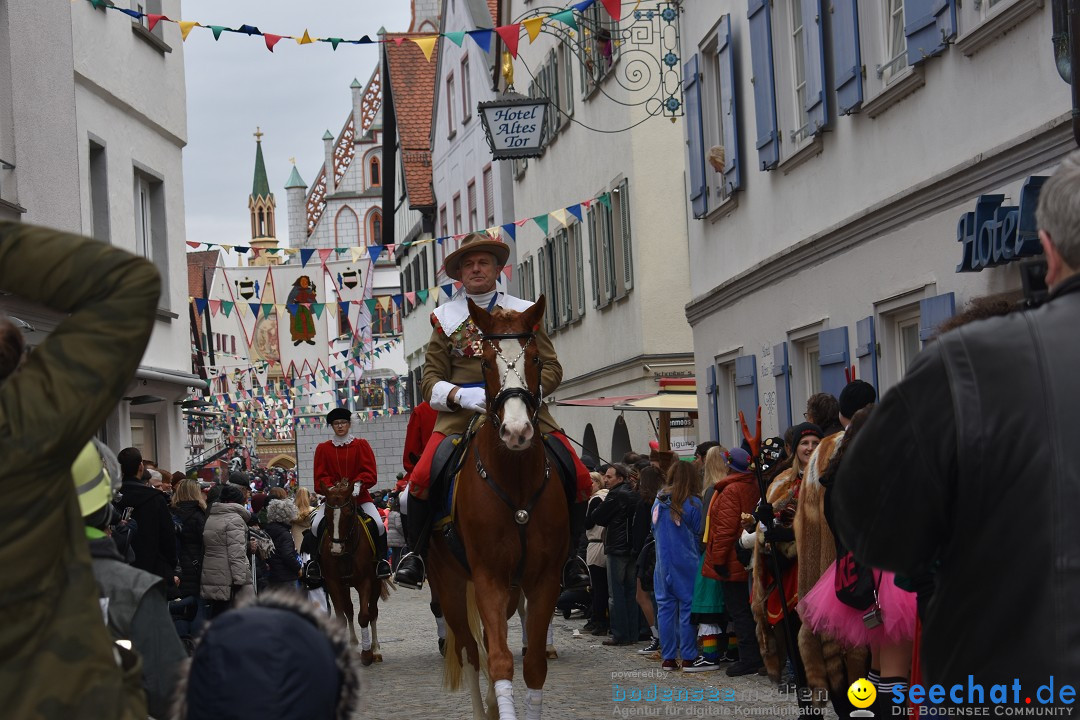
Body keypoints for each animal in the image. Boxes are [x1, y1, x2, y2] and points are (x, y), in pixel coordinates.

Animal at [319, 481, 393, 669]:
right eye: (327, 514)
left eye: (348, 513)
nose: (336, 549)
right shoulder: (333, 584)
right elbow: (342, 618)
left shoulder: (365, 582)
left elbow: (364, 616)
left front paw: (367, 654)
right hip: (345, 587)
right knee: (349, 611)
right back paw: (352, 646)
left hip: (375, 584)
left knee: (372, 612)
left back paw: (375, 650)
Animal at [429, 297, 570, 720]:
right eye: (486, 362)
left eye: (536, 358)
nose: (517, 431)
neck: (516, 482)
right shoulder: (488, 577)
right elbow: (499, 661)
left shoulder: (543, 579)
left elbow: (533, 664)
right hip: (451, 587)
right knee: (472, 653)